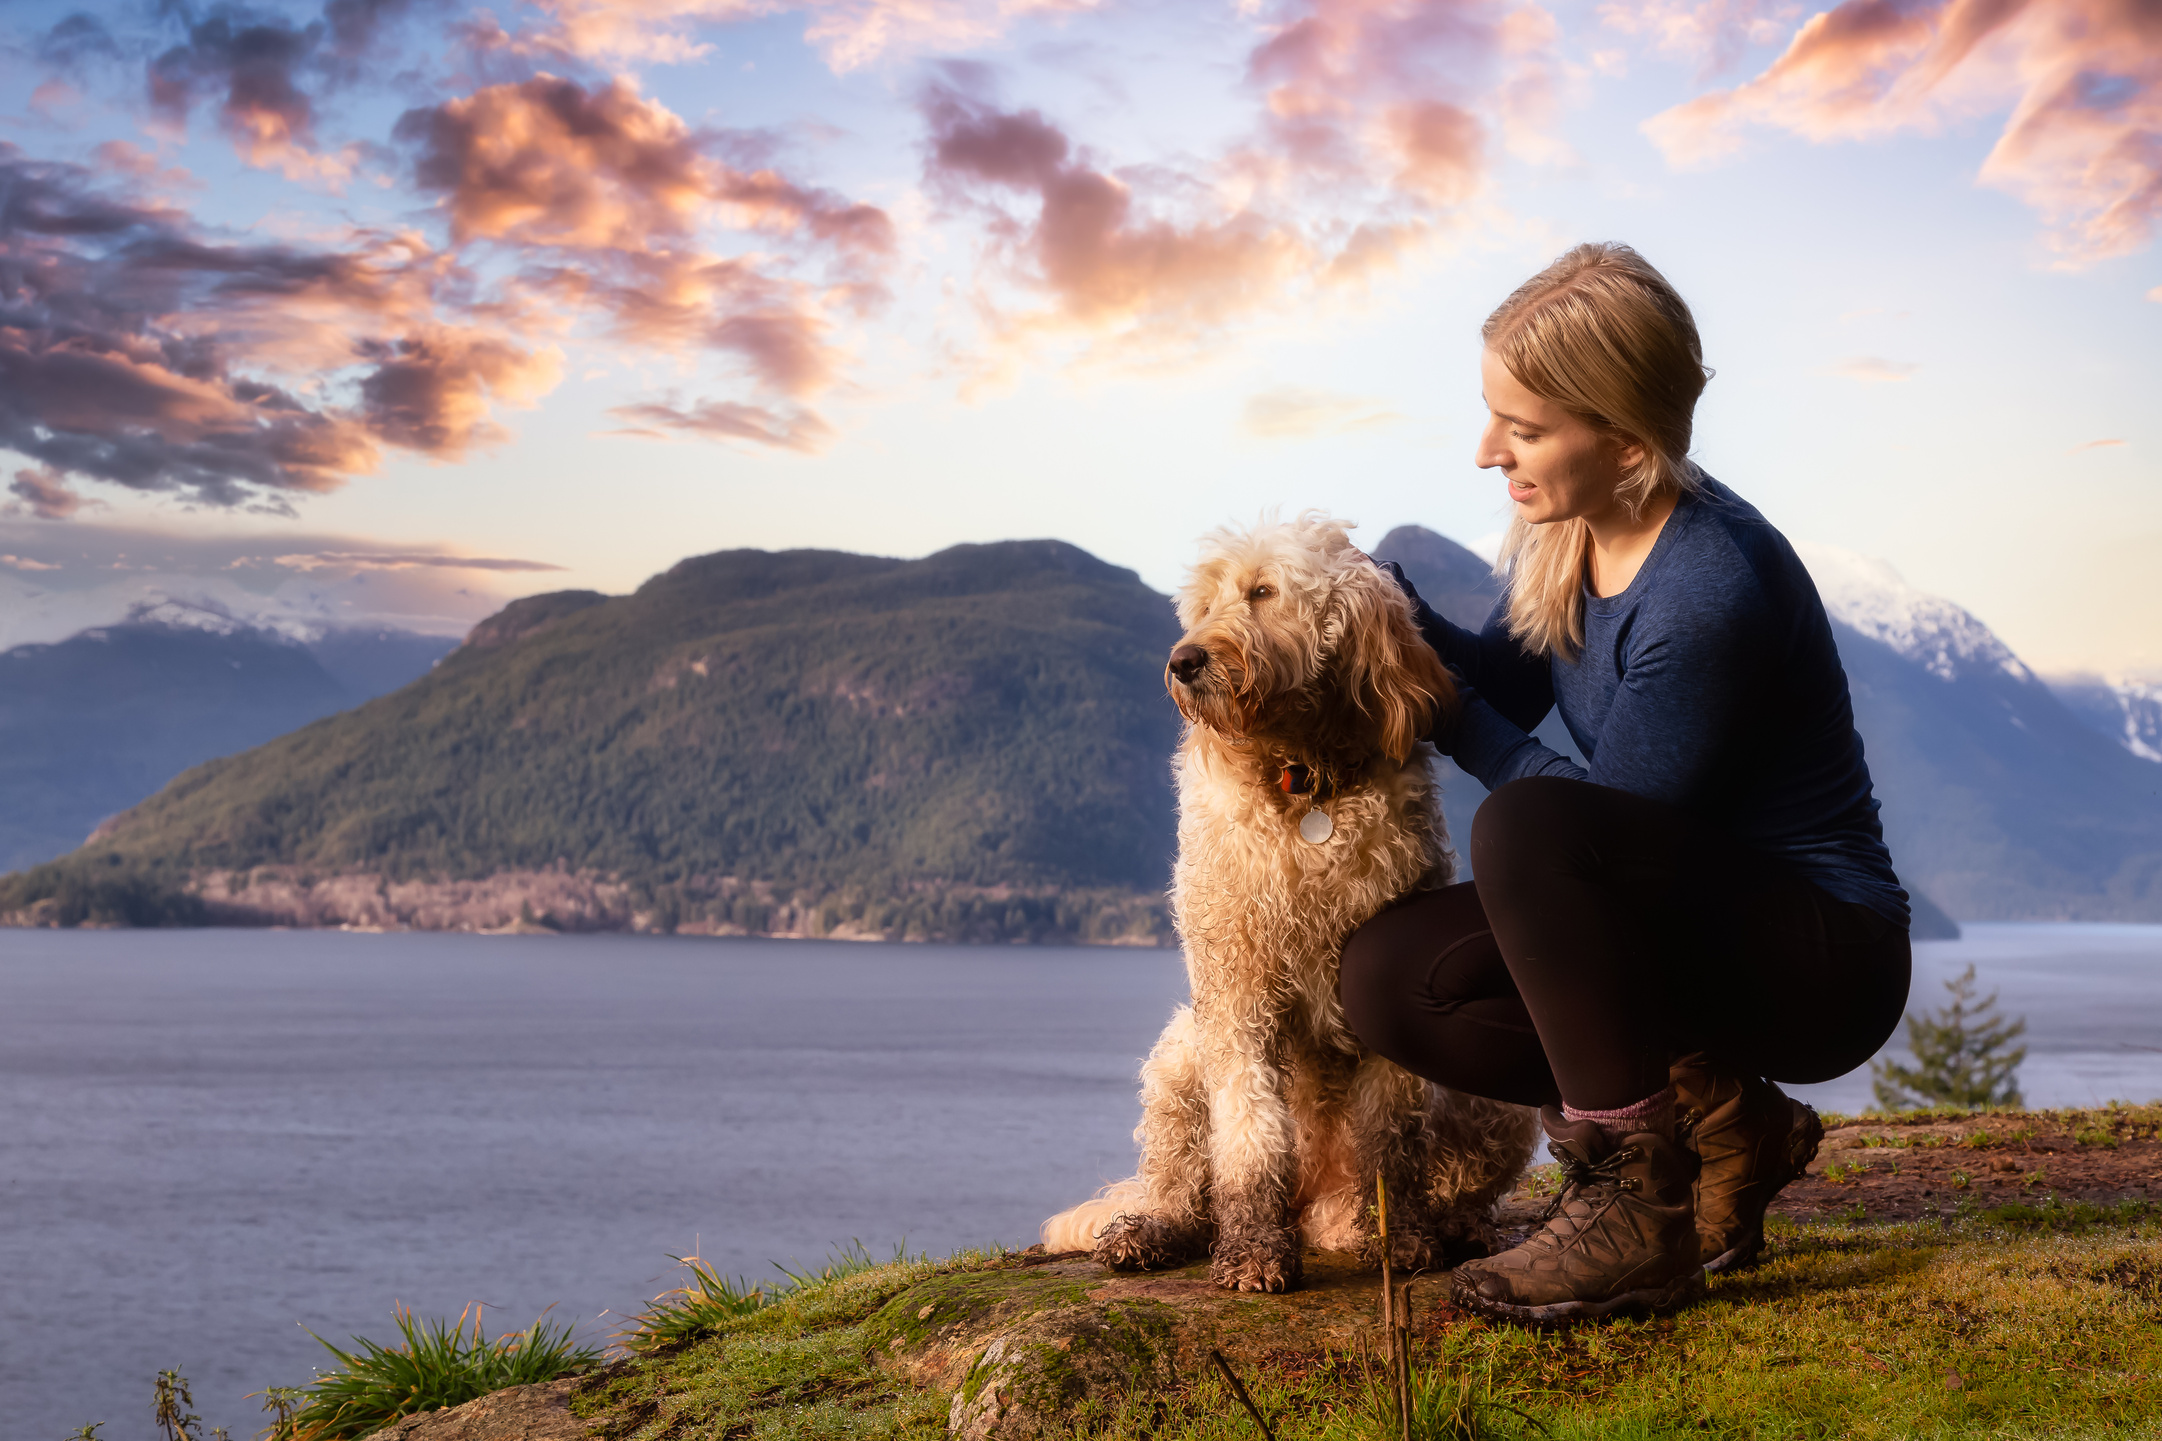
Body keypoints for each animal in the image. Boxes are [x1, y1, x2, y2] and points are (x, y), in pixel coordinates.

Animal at [1042, 512, 1539, 1287]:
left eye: (1263, 591)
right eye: (1202, 605)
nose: (1183, 661)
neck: (1302, 781)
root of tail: (1315, 1213)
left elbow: (1391, 1139)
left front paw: (1401, 1237)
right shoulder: (1236, 992)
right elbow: (1249, 1134)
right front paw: (1252, 1249)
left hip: (1498, 1101)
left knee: (1454, 1182)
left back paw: (1452, 1228)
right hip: (1180, 1053)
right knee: (1182, 1183)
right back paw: (1156, 1227)